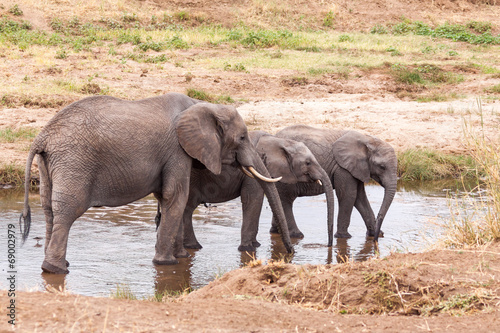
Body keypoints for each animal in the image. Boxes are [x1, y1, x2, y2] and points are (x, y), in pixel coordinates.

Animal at [18, 92, 292, 274]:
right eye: (243, 137)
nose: (290, 252)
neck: (202, 106)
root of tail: (42, 137)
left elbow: (169, 198)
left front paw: (182, 257)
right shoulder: (176, 150)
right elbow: (176, 197)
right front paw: (167, 263)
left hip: (51, 164)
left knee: (50, 211)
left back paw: (56, 266)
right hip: (74, 162)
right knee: (67, 212)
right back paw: (56, 270)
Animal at [155, 131, 336, 250]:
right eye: (308, 163)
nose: (328, 245)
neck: (278, 140)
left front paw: (254, 245)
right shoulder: (251, 172)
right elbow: (253, 199)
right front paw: (249, 249)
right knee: (186, 208)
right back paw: (194, 247)